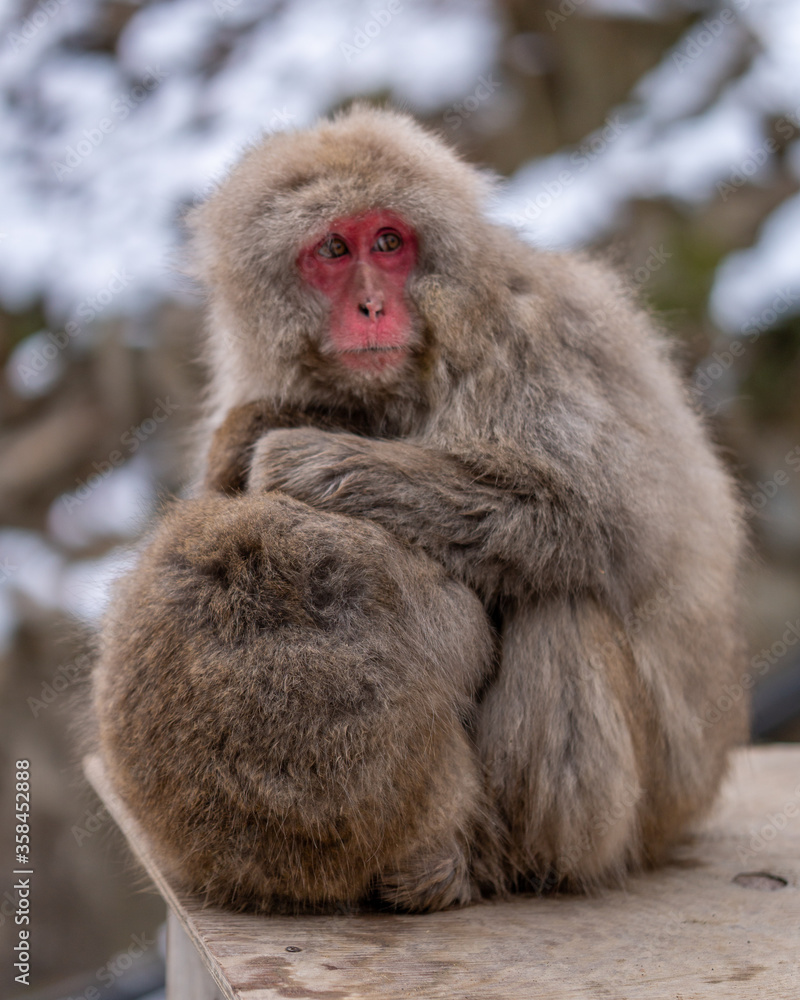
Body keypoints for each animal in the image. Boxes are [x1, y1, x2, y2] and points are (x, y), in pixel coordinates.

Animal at [92, 105, 747, 914]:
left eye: (389, 242)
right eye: (333, 249)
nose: (372, 305)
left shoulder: (540, 338)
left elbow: (601, 521)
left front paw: (304, 459)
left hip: (652, 806)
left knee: (562, 601)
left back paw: (519, 864)